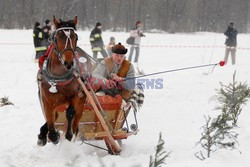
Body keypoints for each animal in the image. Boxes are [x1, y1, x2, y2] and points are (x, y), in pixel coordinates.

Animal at [37, 16, 87, 146]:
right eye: (57, 37)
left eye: (75, 37)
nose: (68, 62)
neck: (59, 78)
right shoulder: (47, 101)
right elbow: (50, 121)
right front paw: (52, 136)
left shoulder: (76, 96)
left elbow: (70, 112)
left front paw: (69, 135)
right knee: (54, 117)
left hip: (81, 104)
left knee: (76, 121)